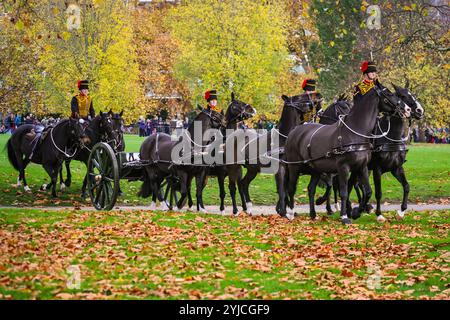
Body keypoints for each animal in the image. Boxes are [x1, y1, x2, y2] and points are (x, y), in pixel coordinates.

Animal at [286, 81, 410, 224]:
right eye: (389, 93)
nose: (407, 109)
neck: (354, 132)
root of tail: (294, 131)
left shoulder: (362, 167)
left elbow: (368, 191)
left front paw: (357, 212)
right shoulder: (344, 168)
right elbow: (344, 192)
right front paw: (345, 215)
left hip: (316, 169)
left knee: (311, 189)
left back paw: (313, 214)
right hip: (294, 167)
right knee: (291, 188)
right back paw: (291, 213)